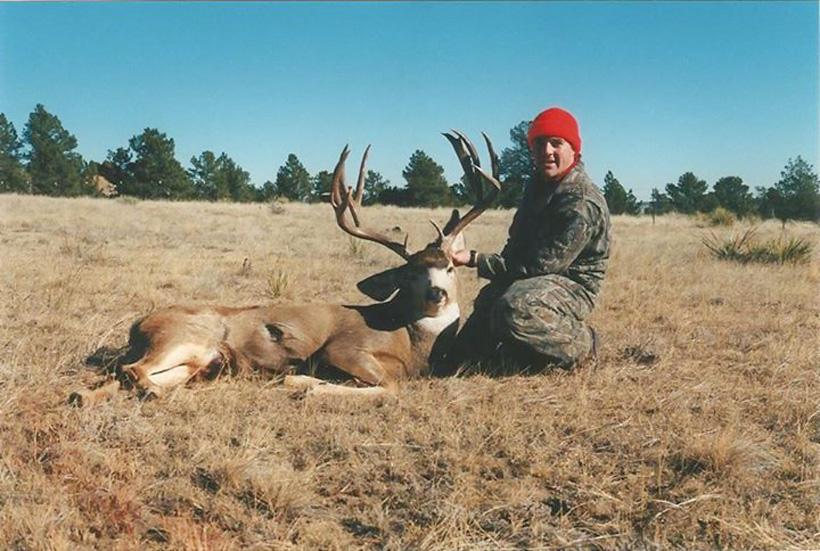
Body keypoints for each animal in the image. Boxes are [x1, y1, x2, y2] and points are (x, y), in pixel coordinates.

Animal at [69, 130, 501, 407]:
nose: (436, 294)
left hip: (195, 359)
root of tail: (137, 324)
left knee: (121, 376)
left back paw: (84, 396)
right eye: (410, 274)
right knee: (134, 370)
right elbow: (389, 388)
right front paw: (303, 384)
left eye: (449, 267)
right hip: (185, 335)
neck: (412, 343)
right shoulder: (345, 348)